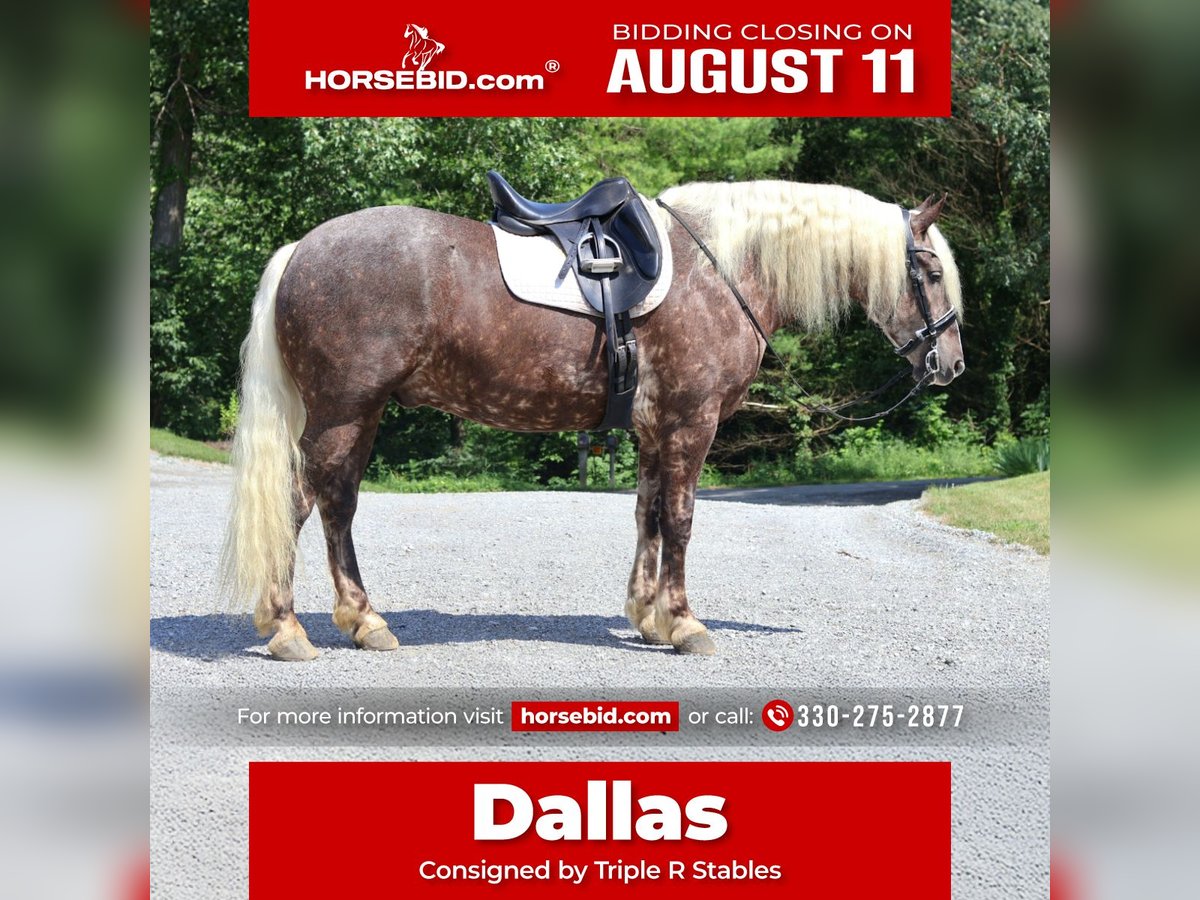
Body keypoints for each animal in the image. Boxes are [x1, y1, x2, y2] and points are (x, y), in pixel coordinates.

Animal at [220, 180, 965, 661]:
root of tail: (300, 249)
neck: (721, 270)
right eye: (928, 271)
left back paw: (352, 620)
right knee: (307, 502)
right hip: (344, 411)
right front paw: (685, 624)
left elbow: (648, 516)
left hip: (356, 414)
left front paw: (648, 617)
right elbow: (682, 519)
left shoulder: (654, 429)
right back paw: (295, 628)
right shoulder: (691, 424)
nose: (951, 364)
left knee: (332, 504)